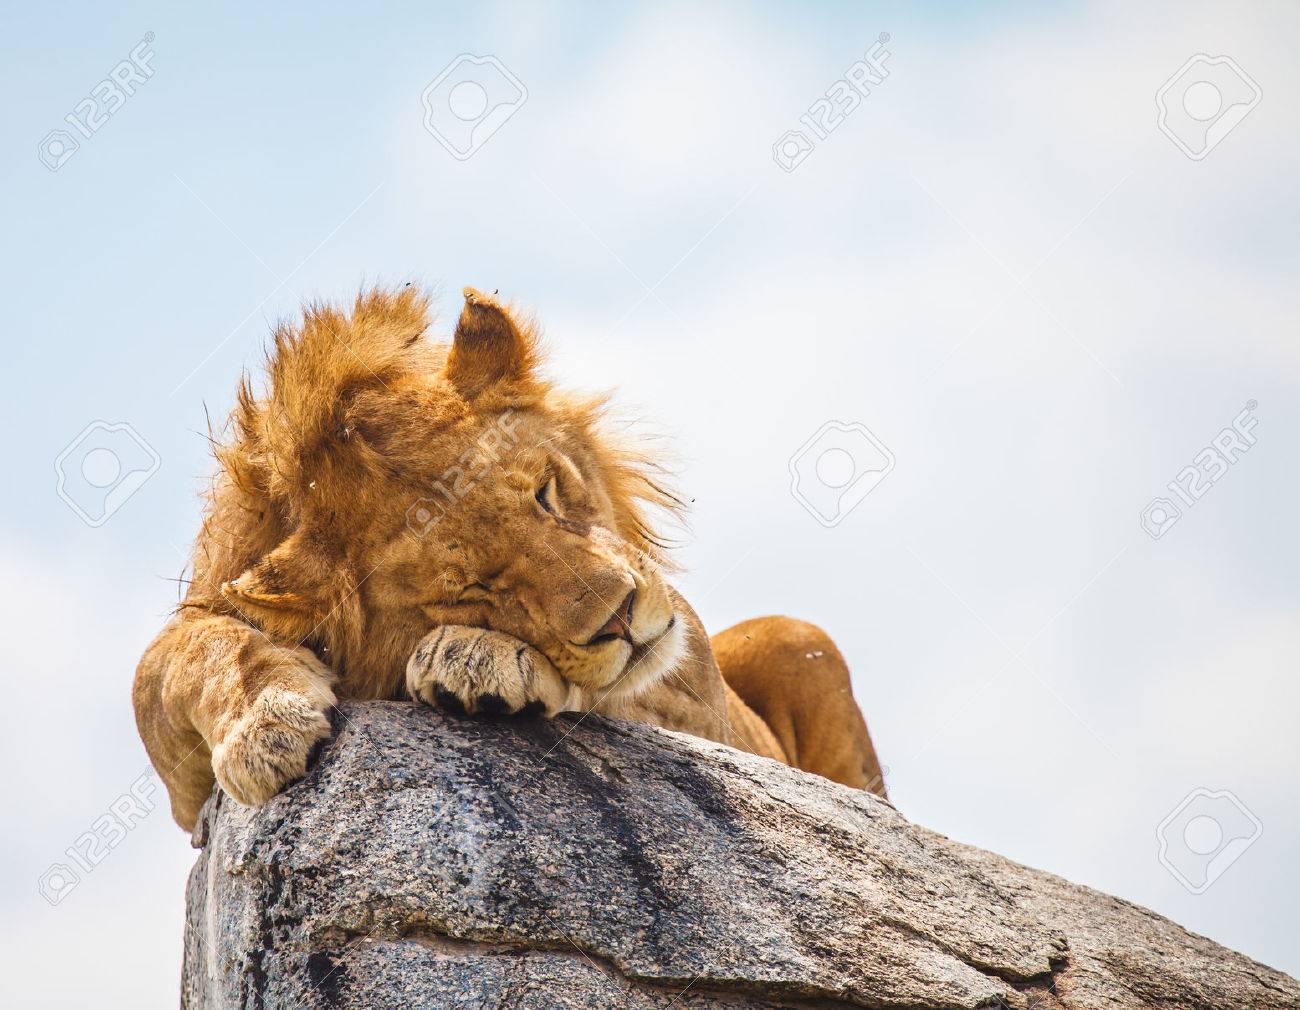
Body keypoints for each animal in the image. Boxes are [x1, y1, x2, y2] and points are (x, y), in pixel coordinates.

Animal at [133, 286, 887, 830]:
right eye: (472, 588)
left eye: (546, 491)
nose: (623, 618)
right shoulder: (187, 778)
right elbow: (174, 665)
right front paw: (264, 723)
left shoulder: (698, 692)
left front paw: (476, 661)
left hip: (796, 639)